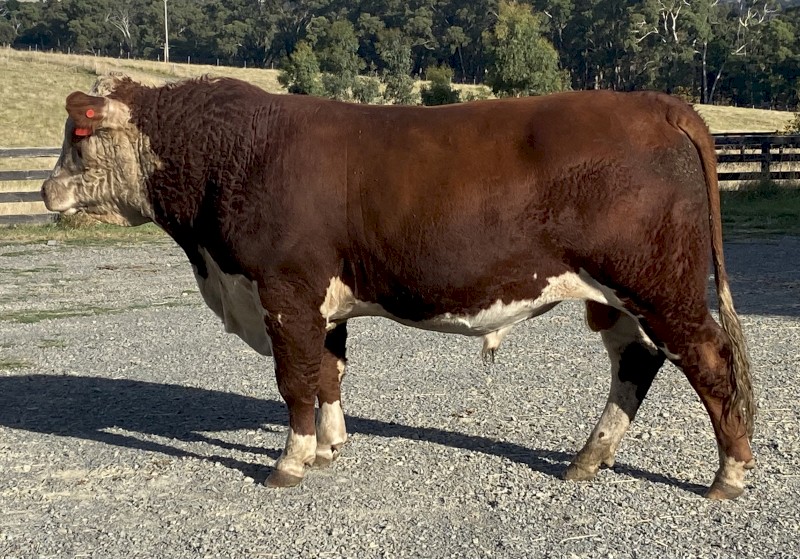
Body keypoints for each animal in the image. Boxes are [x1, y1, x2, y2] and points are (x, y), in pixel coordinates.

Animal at [41, 74, 755, 499]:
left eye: (79, 135)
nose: (47, 191)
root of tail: (653, 101)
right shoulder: (321, 304)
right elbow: (327, 374)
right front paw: (329, 447)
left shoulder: (284, 293)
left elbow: (295, 382)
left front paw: (289, 462)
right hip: (615, 297)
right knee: (636, 361)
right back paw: (588, 457)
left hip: (660, 285)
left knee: (710, 361)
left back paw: (729, 474)